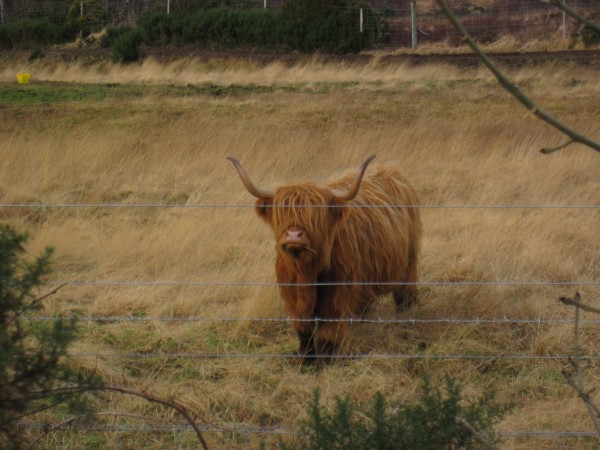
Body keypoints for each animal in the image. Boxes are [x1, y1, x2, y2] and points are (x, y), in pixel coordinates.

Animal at [229, 156, 422, 364]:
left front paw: (326, 361)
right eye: (282, 211)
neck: (305, 272)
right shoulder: (293, 297)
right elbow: (303, 330)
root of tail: (391, 171)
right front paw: (305, 360)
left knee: (405, 295)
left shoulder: (336, 295)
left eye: (314, 214)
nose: (294, 235)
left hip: (409, 263)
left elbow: (328, 331)